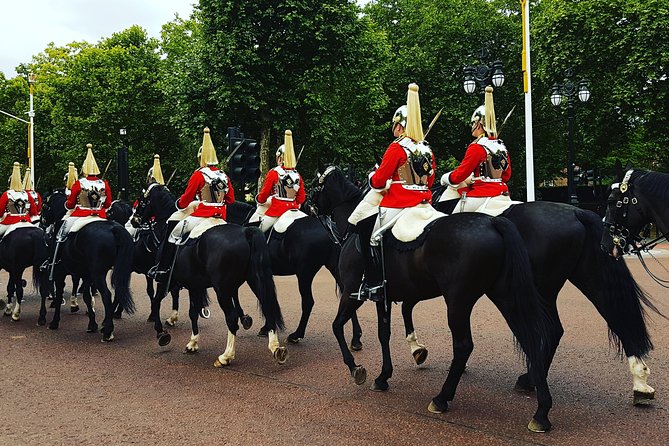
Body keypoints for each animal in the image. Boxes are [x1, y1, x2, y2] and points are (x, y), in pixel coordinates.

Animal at [38, 190, 135, 340]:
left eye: (43, 206)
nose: (42, 225)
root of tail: (114, 228)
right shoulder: (86, 274)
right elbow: (87, 297)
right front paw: (92, 324)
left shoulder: (60, 272)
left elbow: (59, 295)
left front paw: (54, 322)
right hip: (118, 271)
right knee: (117, 291)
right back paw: (106, 324)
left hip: (98, 274)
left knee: (106, 295)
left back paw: (108, 331)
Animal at [136, 185, 288, 366]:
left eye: (141, 201)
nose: (134, 220)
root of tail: (246, 232)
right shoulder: (195, 285)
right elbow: (193, 312)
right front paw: (192, 343)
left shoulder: (166, 281)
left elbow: (157, 301)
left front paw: (162, 333)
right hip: (254, 280)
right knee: (267, 307)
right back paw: (276, 348)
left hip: (221, 289)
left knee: (231, 318)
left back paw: (226, 356)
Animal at [224, 200, 360, 346]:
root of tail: (326, 227)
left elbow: (255, 295)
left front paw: (249, 320)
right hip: (335, 269)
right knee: (347, 295)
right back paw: (356, 339)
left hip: (304, 273)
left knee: (308, 302)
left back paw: (296, 335)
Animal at [310, 166, 556, 430]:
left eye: (315, 185)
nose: (306, 206)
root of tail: (493, 222)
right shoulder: (382, 296)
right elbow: (384, 333)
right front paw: (384, 376)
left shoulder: (352, 294)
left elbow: (337, 326)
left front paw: (356, 367)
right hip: (504, 296)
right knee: (530, 338)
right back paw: (541, 410)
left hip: (458, 302)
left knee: (464, 346)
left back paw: (441, 398)